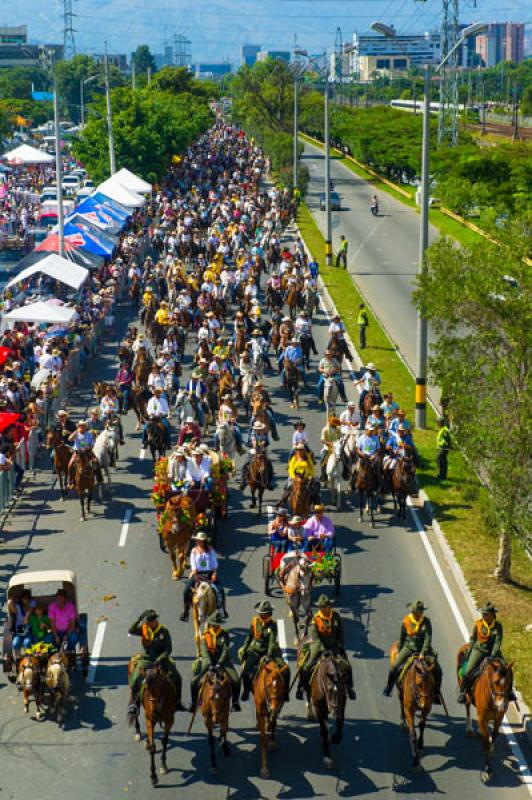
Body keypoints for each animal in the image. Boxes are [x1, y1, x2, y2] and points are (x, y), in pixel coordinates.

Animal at [456, 648, 512, 784]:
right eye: (495, 682)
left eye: (509, 682)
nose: (501, 706)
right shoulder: (482, 718)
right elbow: (486, 741)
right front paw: (487, 771)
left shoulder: (499, 718)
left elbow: (494, 735)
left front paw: (491, 750)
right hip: (466, 696)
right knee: (467, 707)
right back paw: (470, 729)